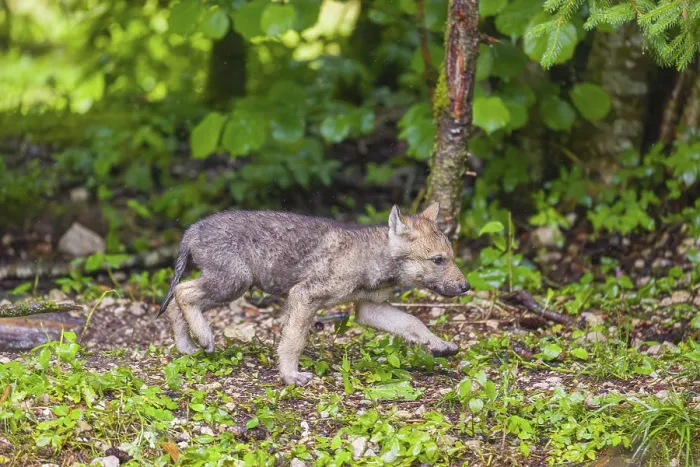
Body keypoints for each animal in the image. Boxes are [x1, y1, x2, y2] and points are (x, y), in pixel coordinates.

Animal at [158, 203, 470, 386]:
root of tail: (192, 229)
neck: (372, 257)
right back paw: (203, 337)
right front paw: (291, 376)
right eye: (438, 260)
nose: (466, 286)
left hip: (228, 285)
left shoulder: (369, 308)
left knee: (175, 300)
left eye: (453, 258)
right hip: (233, 283)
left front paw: (440, 346)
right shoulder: (304, 295)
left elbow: (413, 323)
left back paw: (187, 347)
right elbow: (293, 341)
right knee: (183, 292)